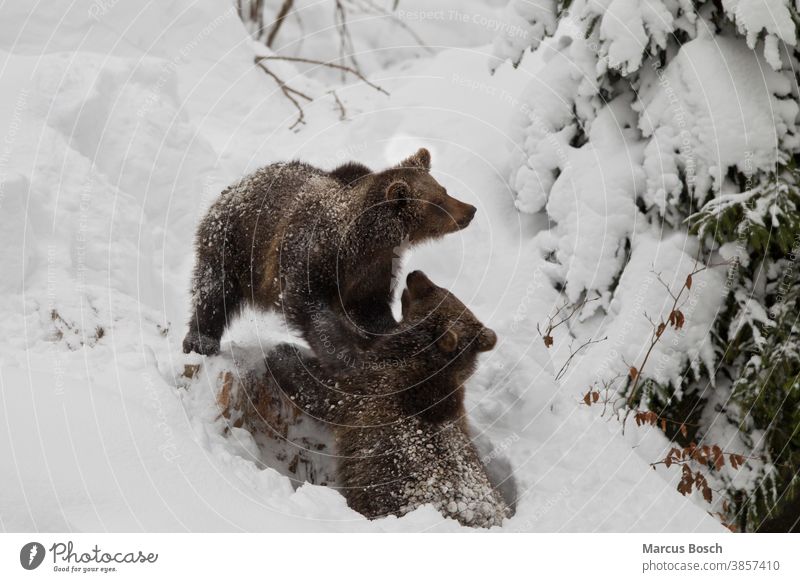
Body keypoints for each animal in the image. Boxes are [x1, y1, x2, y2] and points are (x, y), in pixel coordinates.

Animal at [181, 148, 476, 358]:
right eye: (438, 202)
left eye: (444, 190)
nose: (470, 209)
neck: (365, 243)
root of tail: (240, 182)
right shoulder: (314, 257)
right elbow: (308, 305)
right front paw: (342, 352)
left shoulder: (374, 272)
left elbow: (372, 310)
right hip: (233, 243)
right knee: (214, 290)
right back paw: (200, 341)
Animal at [268, 272, 506, 532]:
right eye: (446, 291)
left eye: (433, 290)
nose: (415, 274)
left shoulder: (368, 392)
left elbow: (325, 391)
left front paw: (280, 353)